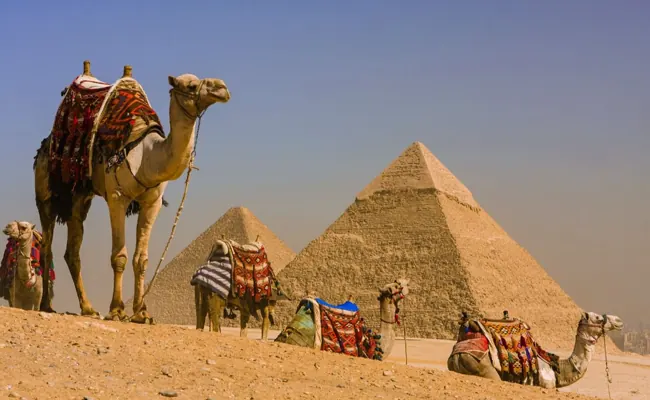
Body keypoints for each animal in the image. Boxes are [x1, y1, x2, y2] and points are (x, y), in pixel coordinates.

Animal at [33, 61, 230, 322]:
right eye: (191, 85)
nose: (223, 88)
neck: (147, 154)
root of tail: (45, 145)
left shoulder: (152, 202)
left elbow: (142, 259)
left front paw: (141, 312)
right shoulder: (117, 197)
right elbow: (120, 256)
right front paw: (117, 310)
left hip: (80, 198)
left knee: (72, 250)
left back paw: (88, 308)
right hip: (45, 191)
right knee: (46, 246)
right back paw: (46, 305)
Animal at [447, 311, 623, 389]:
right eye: (598, 318)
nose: (619, 320)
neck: (557, 369)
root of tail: (457, 354)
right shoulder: (547, 385)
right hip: (484, 367)